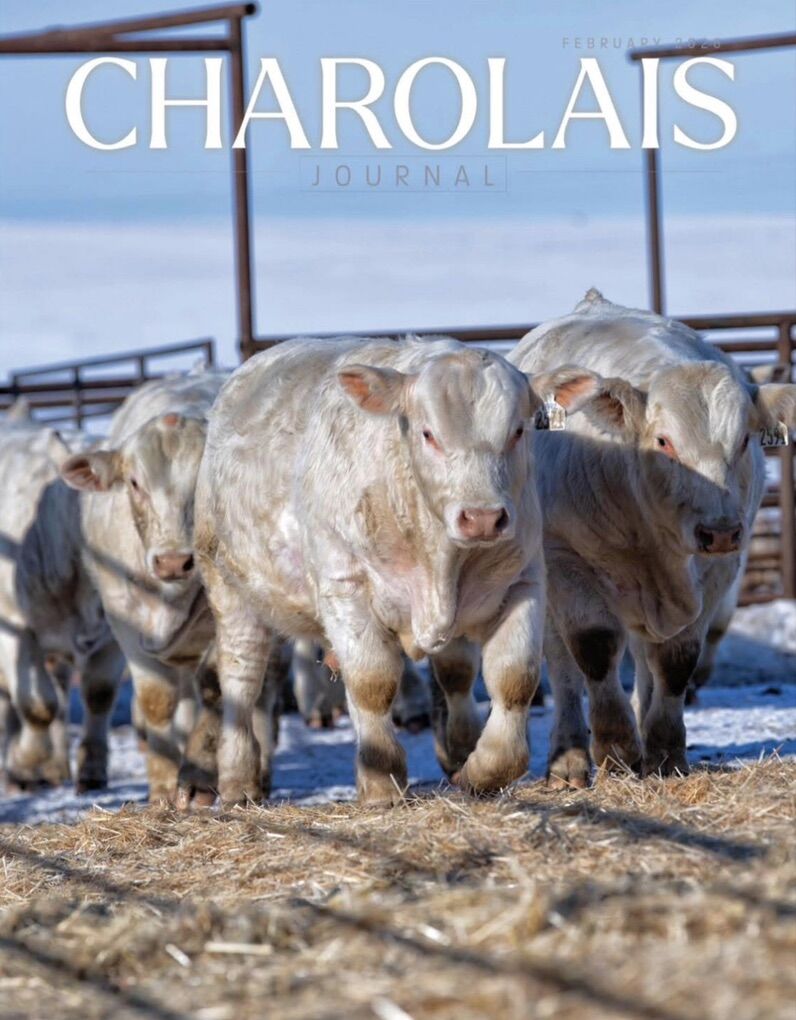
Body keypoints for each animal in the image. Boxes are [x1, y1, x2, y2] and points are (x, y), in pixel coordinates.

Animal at [0, 401, 125, 792]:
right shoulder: (13, 629)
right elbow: (37, 704)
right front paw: (25, 765)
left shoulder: (112, 635)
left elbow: (99, 693)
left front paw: (92, 770)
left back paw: (57, 767)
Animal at [194, 335, 599, 806]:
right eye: (428, 434)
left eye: (518, 431)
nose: (482, 518)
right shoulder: (345, 586)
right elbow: (372, 683)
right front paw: (381, 780)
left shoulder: (523, 583)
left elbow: (515, 678)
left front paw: (481, 771)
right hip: (228, 587)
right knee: (241, 678)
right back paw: (239, 780)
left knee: (456, 674)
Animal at [509, 290, 796, 785]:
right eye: (663, 441)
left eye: (744, 440)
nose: (720, 530)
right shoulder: (567, 561)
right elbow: (595, 650)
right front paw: (616, 750)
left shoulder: (717, 572)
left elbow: (676, 661)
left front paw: (664, 753)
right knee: (563, 668)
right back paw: (569, 758)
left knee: (646, 659)